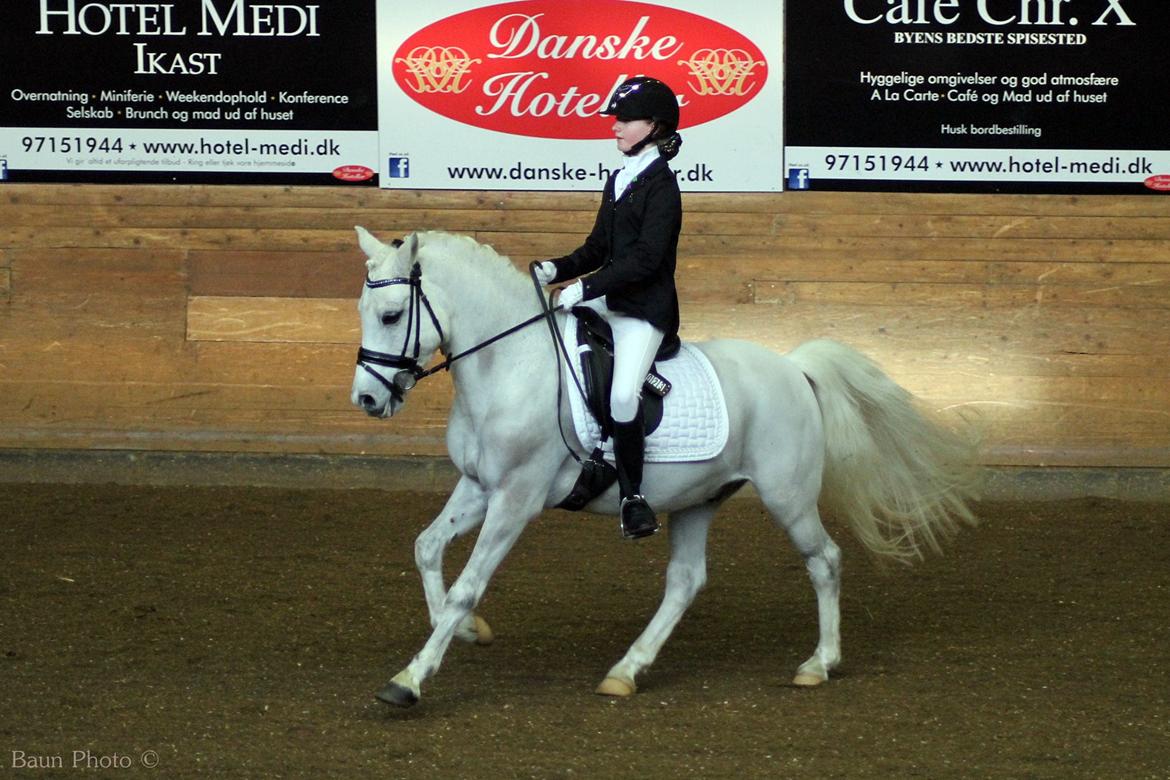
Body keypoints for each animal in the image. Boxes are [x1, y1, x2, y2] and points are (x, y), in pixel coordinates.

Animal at [349, 227, 981, 707]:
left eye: (391, 315)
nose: (368, 400)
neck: (513, 364)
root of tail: (792, 367)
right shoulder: (480, 486)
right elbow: (428, 547)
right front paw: (462, 633)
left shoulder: (516, 498)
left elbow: (466, 585)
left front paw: (409, 679)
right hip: (700, 498)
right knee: (685, 581)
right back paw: (626, 670)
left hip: (788, 496)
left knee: (823, 560)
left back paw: (818, 663)